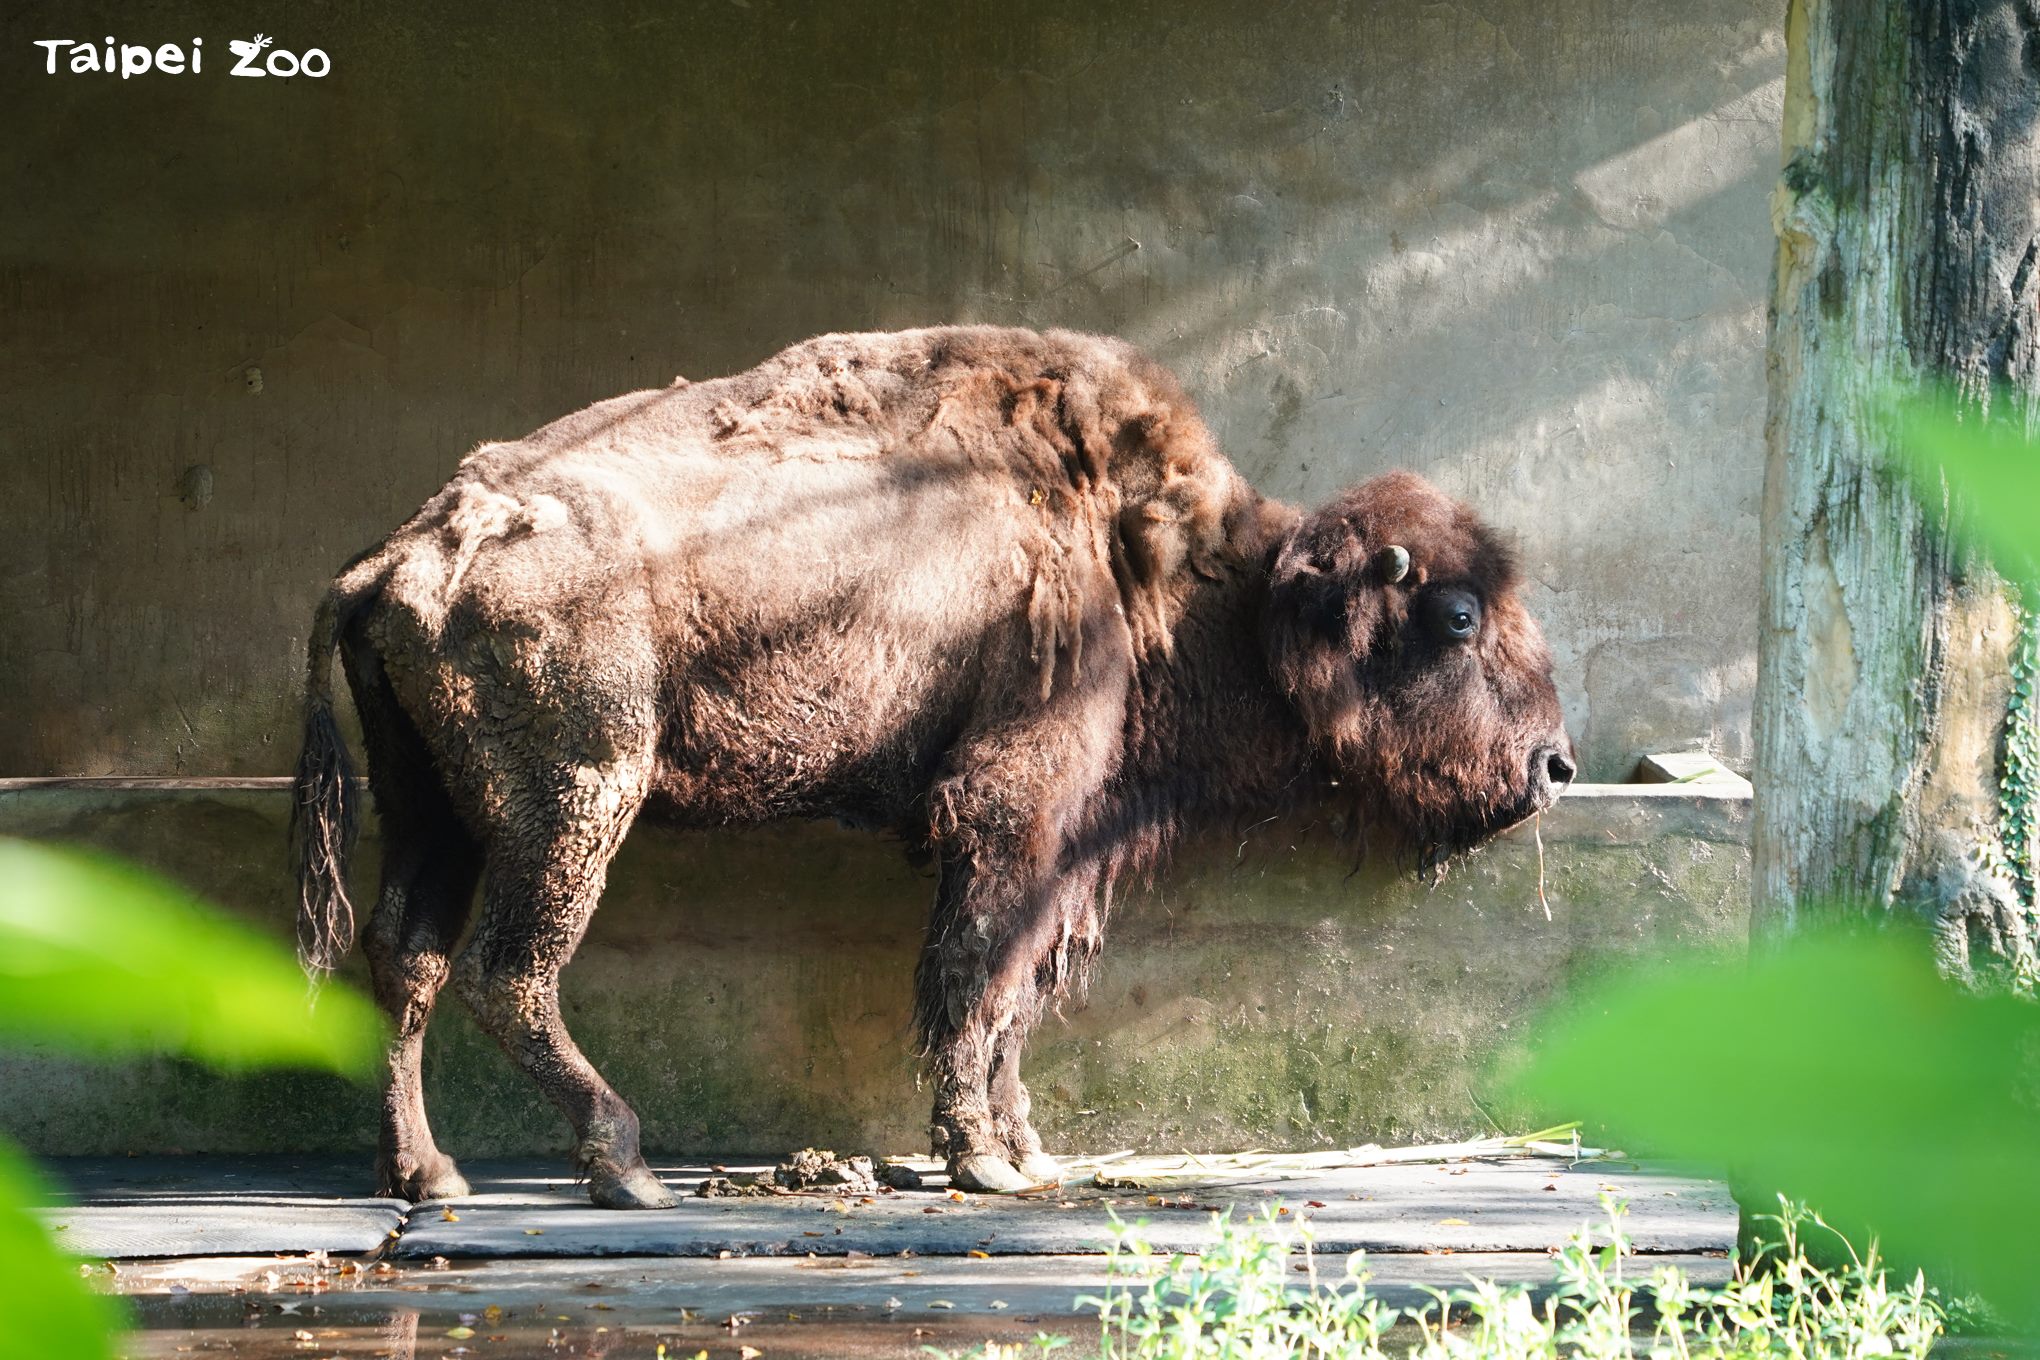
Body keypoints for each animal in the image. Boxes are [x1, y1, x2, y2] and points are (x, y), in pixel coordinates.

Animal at [291, 324, 1574, 1207]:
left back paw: (427, 1173)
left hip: (436, 806)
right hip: (576, 800)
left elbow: (1013, 995)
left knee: (406, 956)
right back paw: (624, 1162)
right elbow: (978, 977)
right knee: (508, 970)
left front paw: (1023, 1146)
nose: (1555, 764)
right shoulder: (1012, 815)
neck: (1172, 570)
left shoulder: (1063, 849)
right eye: (1459, 613)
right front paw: (983, 1159)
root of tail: (404, 550)